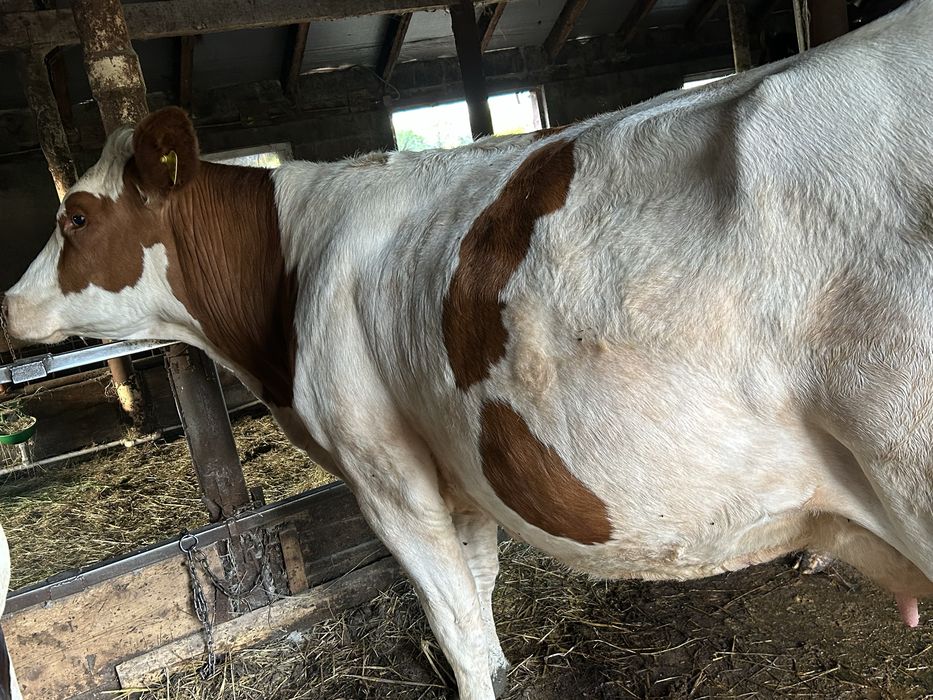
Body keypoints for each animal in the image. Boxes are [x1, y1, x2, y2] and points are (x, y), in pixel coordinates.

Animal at [3, 2, 933, 697]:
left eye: (74, 216)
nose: (8, 305)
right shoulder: (460, 463)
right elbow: (480, 594)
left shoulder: (385, 473)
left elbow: (450, 616)